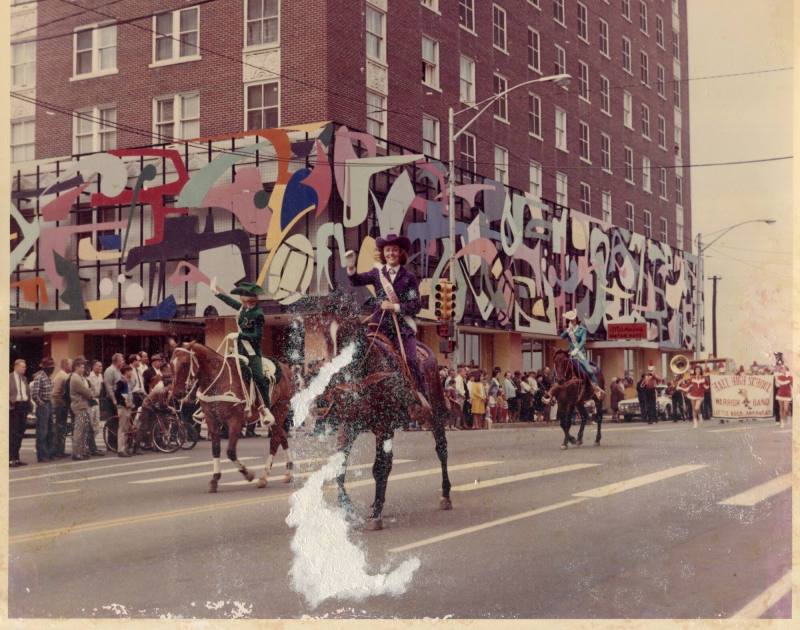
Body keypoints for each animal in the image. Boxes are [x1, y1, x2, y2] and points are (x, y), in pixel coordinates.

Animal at [170, 344, 296, 492]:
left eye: (184, 364)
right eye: (171, 364)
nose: (176, 394)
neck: (217, 380)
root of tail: (286, 369)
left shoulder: (235, 421)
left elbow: (230, 451)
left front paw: (248, 474)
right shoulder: (212, 420)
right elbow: (216, 449)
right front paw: (215, 479)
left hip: (280, 409)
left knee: (275, 440)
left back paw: (264, 477)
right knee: (282, 436)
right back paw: (288, 472)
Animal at [300, 294, 454, 532]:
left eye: (346, 336)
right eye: (326, 336)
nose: (331, 379)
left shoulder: (383, 427)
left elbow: (379, 468)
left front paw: (376, 514)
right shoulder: (349, 426)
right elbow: (341, 468)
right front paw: (349, 510)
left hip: (434, 414)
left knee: (441, 449)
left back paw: (446, 495)